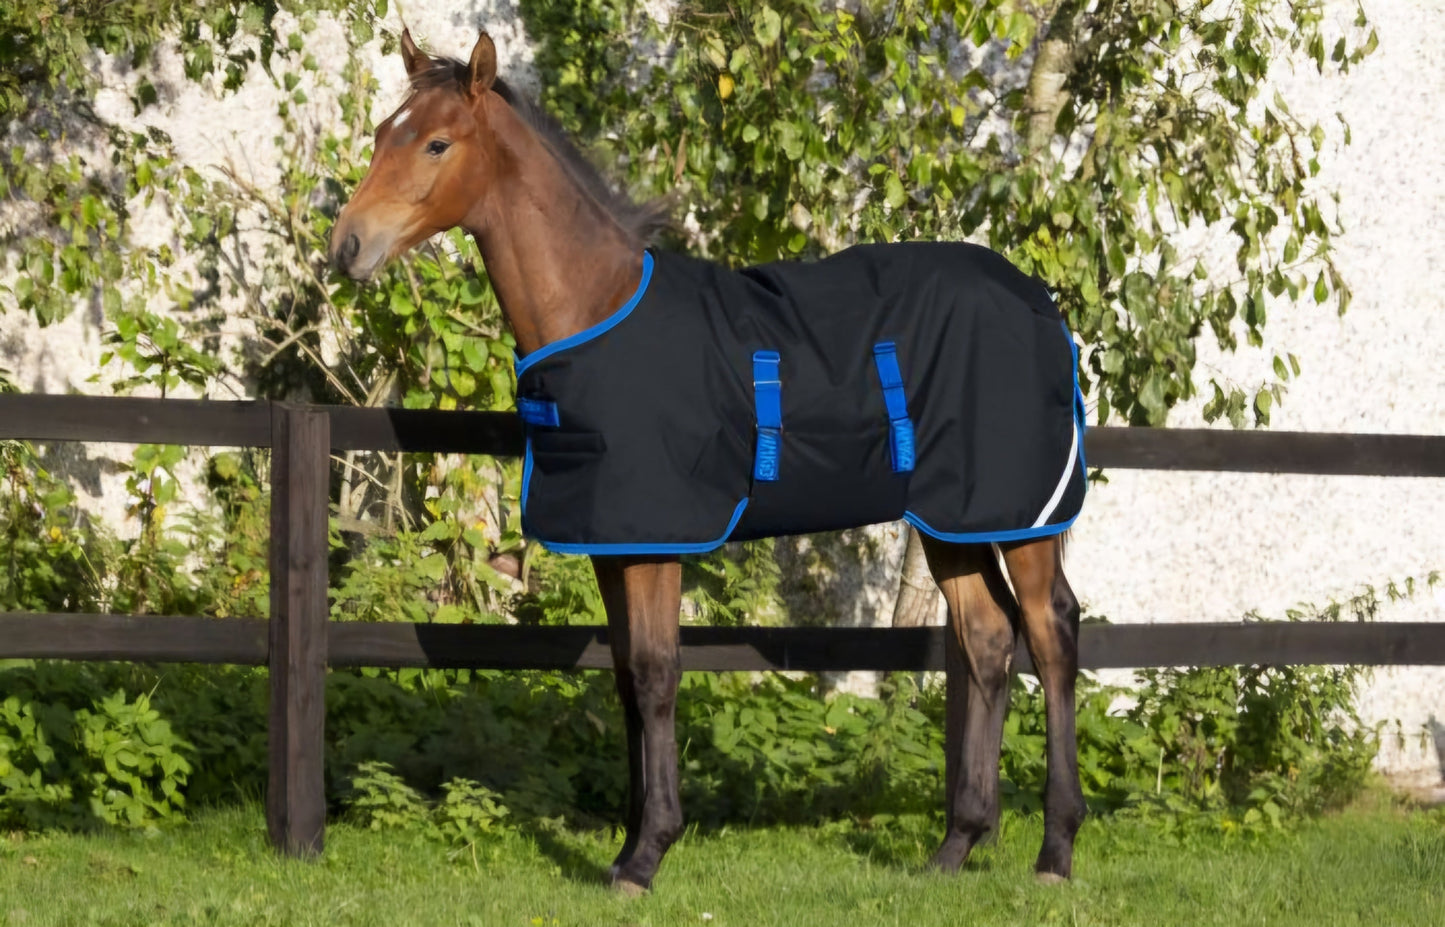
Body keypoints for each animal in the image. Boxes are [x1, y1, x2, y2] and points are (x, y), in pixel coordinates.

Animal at [329, 30, 1086, 894]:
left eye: (436, 143)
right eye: (382, 132)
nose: (347, 246)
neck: (595, 307)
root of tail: (1037, 299)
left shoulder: (658, 541)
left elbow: (658, 673)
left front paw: (648, 853)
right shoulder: (613, 544)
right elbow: (626, 678)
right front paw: (627, 845)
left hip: (1020, 515)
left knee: (1051, 634)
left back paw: (1054, 849)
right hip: (950, 519)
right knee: (988, 640)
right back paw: (955, 845)